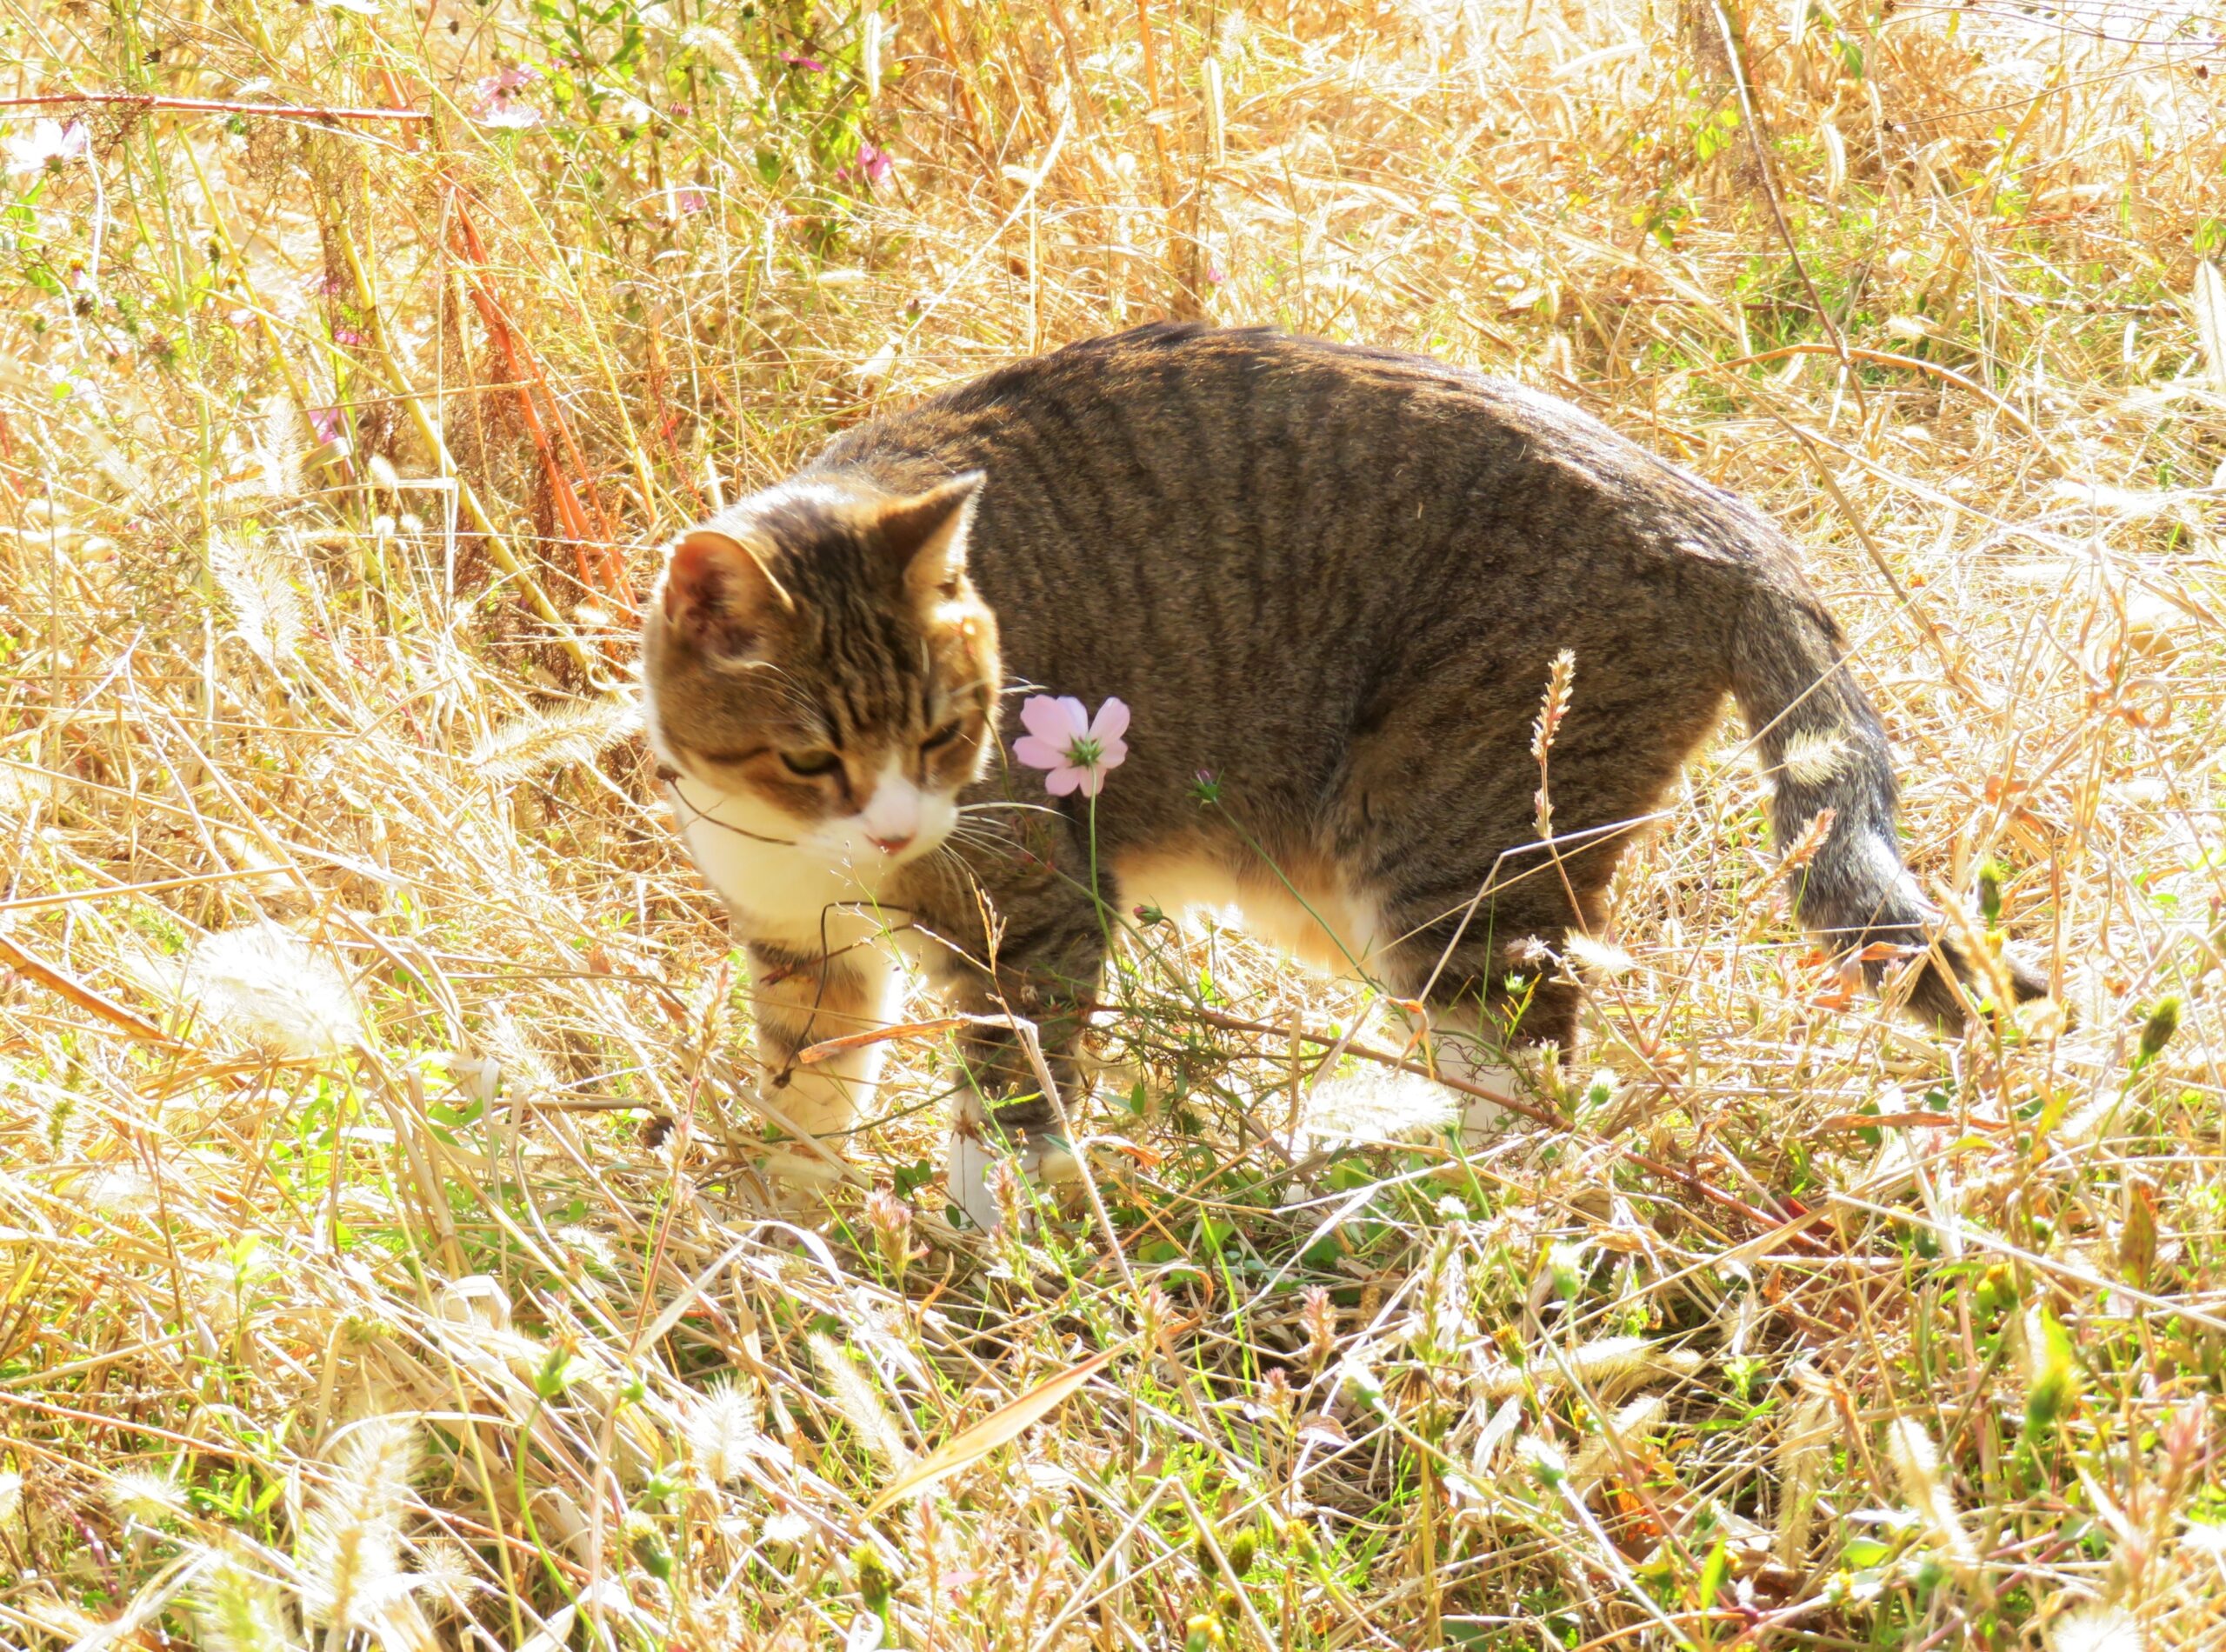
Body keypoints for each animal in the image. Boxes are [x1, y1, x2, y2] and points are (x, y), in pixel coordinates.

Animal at [636, 327, 2038, 1229]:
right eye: (812, 756)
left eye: (945, 732)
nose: (896, 828)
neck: (805, 847)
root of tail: (1713, 512)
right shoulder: (802, 948)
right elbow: (806, 1084)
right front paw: (783, 1219)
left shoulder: (1038, 914)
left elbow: (1013, 1088)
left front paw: (992, 1230)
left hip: (1444, 857)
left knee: (1535, 1093)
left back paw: (1379, 1179)